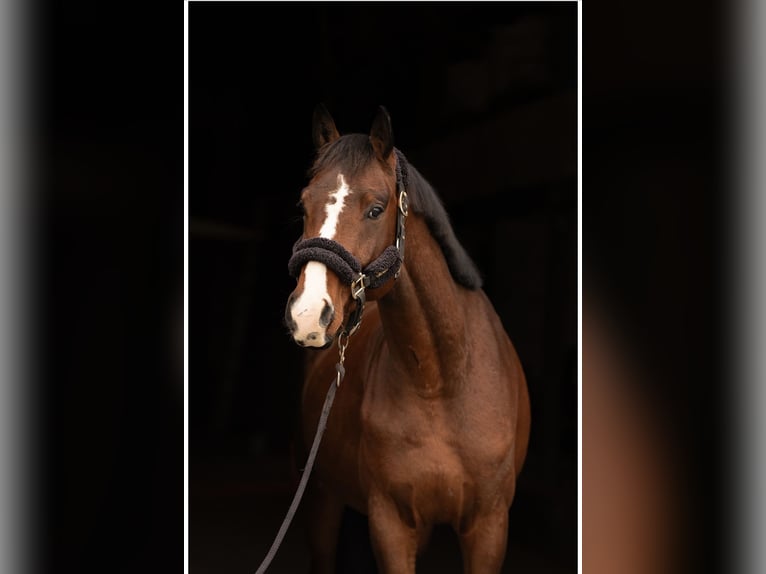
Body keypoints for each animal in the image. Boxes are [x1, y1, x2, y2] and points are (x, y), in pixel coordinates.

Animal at [284, 106, 532, 572]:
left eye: (376, 209)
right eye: (303, 204)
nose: (307, 315)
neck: (442, 381)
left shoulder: (489, 527)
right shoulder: (391, 524)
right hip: (321, 496)